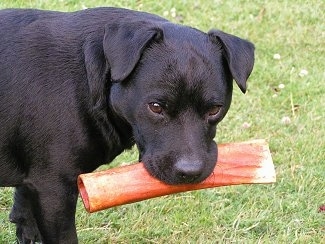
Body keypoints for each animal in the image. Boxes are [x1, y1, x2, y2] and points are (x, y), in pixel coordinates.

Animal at [0, 6, 253, 243]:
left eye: (214, 110)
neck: (89, 77)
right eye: (156, 107)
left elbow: (24, 200)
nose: (190, 172)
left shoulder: (37, 180)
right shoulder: (55, 190)